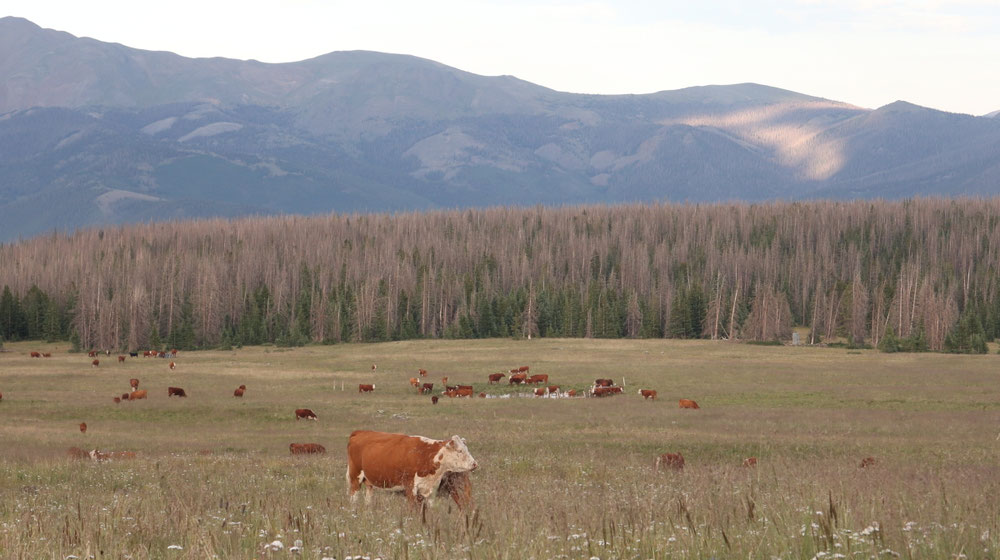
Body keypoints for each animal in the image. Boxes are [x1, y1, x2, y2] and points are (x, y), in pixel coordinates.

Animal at [348, 430, 480, 510]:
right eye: (460, 451)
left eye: (467, 449)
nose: (475, 464)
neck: (426, 455)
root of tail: (360, 432)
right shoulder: (410, 487)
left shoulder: (430, 490)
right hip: (355, 478)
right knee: (353, 498)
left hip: (369, 482)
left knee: (368, 499)